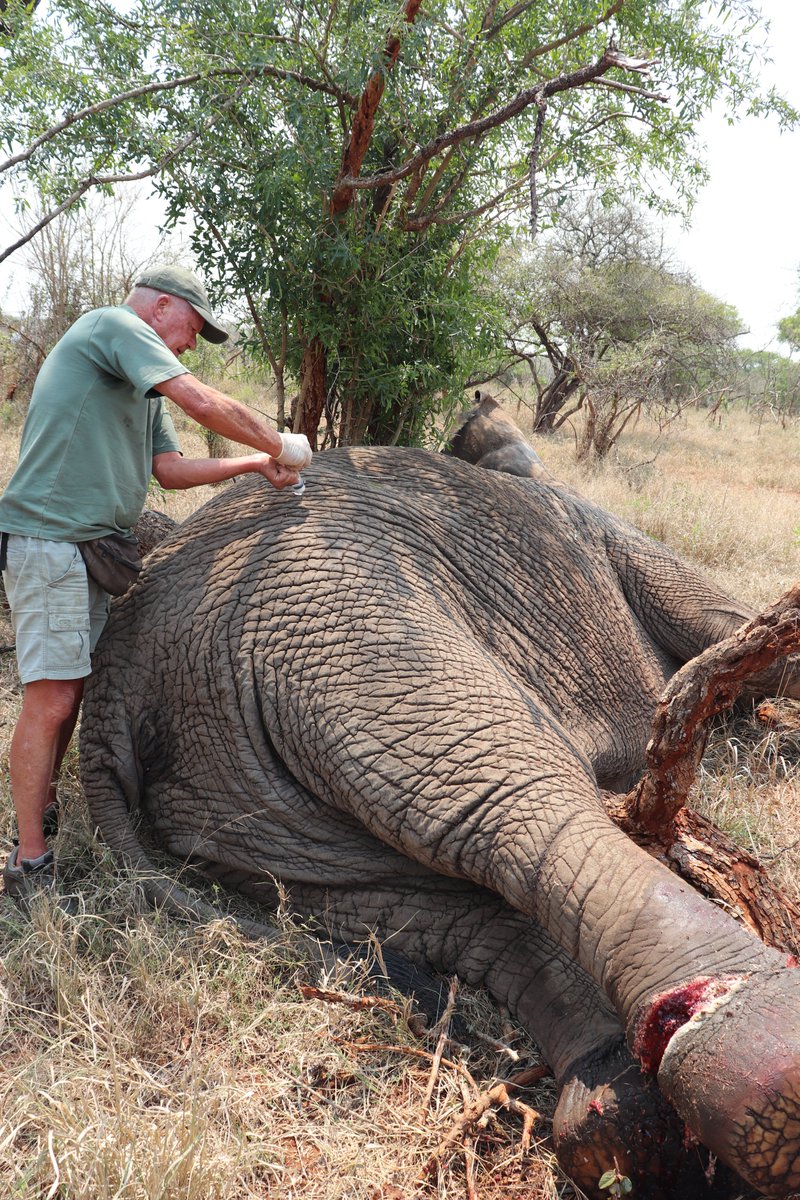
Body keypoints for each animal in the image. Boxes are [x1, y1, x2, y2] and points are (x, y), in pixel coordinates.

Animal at [78, 432, 800, 1199]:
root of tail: (114, 676)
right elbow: (734, 632)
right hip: (346, 620)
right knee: (519, 798)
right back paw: (756, 1072)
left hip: (234, 776)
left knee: (440, 901)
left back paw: (612, 1113)